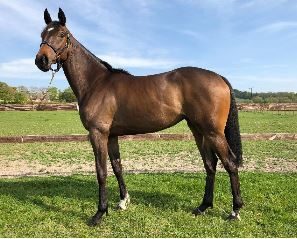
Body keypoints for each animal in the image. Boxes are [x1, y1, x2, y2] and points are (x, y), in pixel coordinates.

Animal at [35, 8, 243, 225]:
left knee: (230, 163)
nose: (41, 60)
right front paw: (123, 202)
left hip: (213, 132)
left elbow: (101, 172)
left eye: (61, 34)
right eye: (42, 35)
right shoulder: (111, 135)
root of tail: (219, 77)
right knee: (210, 164)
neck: (96, 83)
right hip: (198, 130)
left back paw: (235, 210)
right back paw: (203, 206)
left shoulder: (97, 133)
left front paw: (100, 213)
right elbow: (117, 167)